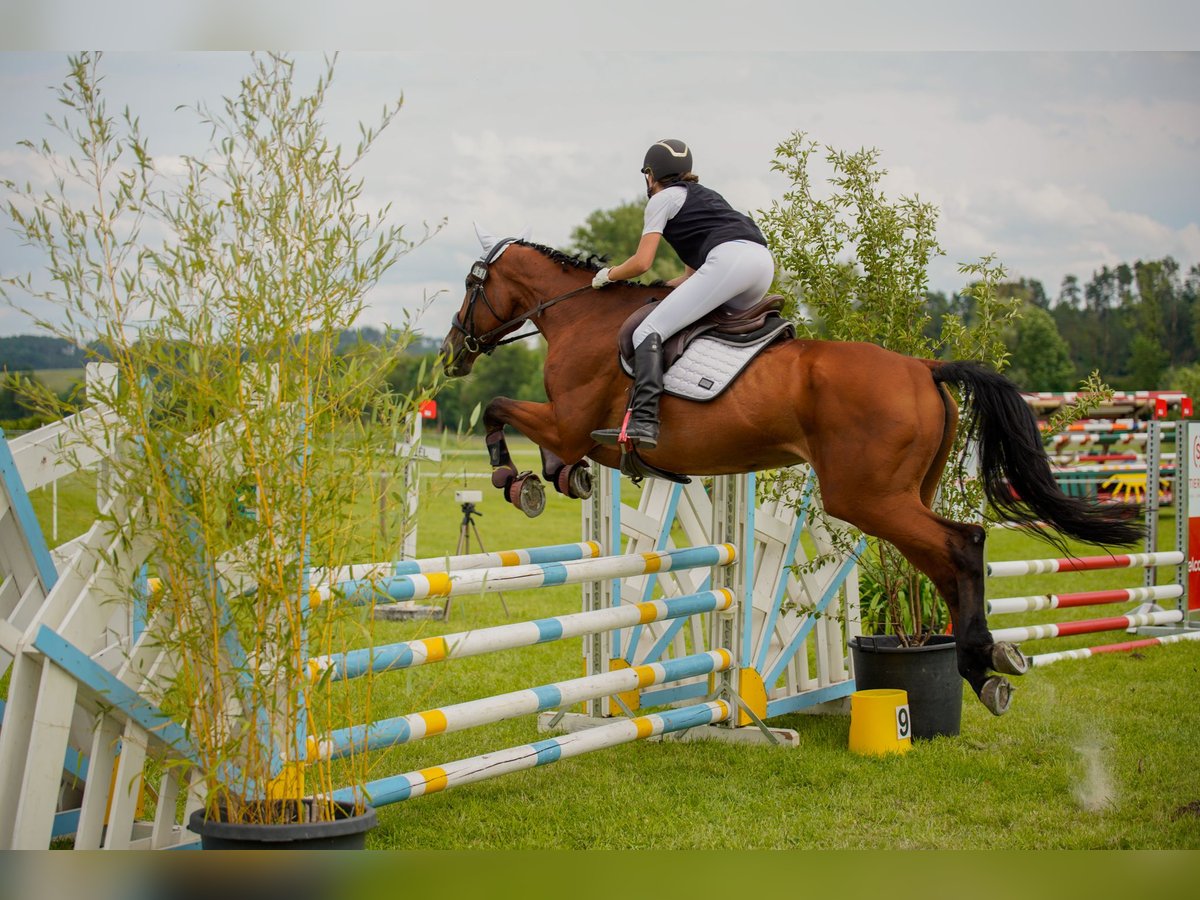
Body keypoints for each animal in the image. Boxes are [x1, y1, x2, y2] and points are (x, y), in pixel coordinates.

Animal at [441, 232, 1142, 720]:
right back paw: (986, 663)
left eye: (472, 286)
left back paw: (980, 665)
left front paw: (515, 479)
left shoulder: (566, 422)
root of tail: (924, 367)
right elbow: (553, 454)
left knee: (963, 545)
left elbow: (500, 411)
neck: (581, 318)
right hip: (901, 494)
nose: (450, 353)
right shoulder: (573, 434)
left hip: (866, 497)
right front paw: (558, 480)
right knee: (945, 561)